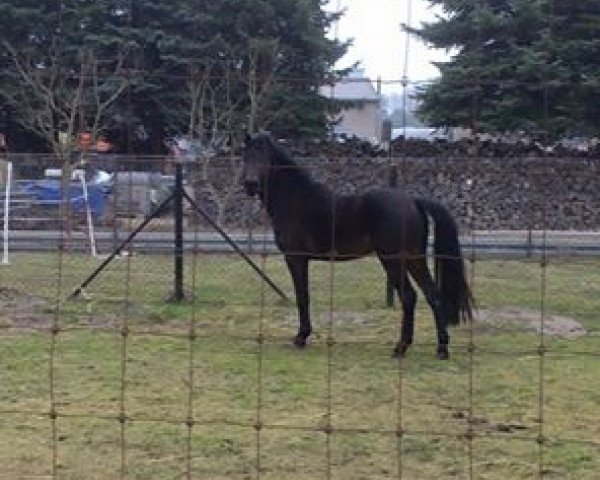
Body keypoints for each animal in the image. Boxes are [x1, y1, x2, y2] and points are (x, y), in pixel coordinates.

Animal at [241, 133, 472, 358]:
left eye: (265, 158)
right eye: (246, 156)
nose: (250, 183)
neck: (295, 199)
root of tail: (413, 201)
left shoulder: (295, 258)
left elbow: (302, 297)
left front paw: (301, 338)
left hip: (393, 260)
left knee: (409, 297)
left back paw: (400, 348)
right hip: (415, 259)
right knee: (432, 295)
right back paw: (441, 349)